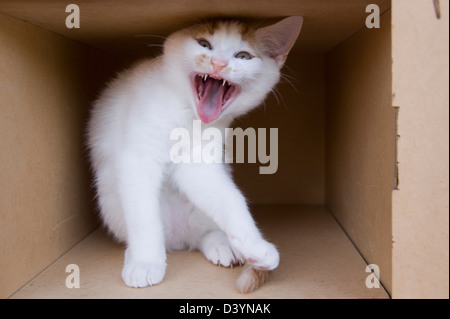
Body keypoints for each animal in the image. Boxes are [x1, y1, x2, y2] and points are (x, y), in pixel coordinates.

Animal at [86, 16, 304, 294]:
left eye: (243, 56)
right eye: (204, 44)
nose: (218, 63)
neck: (186, 113)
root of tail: (179, 238)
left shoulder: (198, 161)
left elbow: (230, 198)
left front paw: (254, 245)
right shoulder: (138, 157)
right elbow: (143, 216)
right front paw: (145, 262)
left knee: (203, 231)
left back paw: (221, 244)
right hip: (111, 201)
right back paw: (135, 254)